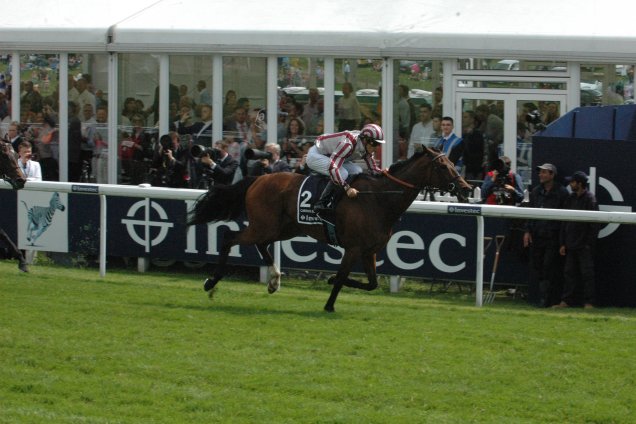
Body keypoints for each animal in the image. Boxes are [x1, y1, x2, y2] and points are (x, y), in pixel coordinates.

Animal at [186, 148, 470, 312]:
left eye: (452, 162)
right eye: (443, 166)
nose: (466, 188)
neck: (379, 199)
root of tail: (258, 178)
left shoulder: (369, 251)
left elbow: (372, 284)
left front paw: (331, 283)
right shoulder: (353, 248)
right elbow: (343, 277)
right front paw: (330, 303)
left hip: (281, 228)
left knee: (260, 245)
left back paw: (274, 281)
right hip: (263, 225)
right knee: (228, 237)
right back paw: (211, 282)